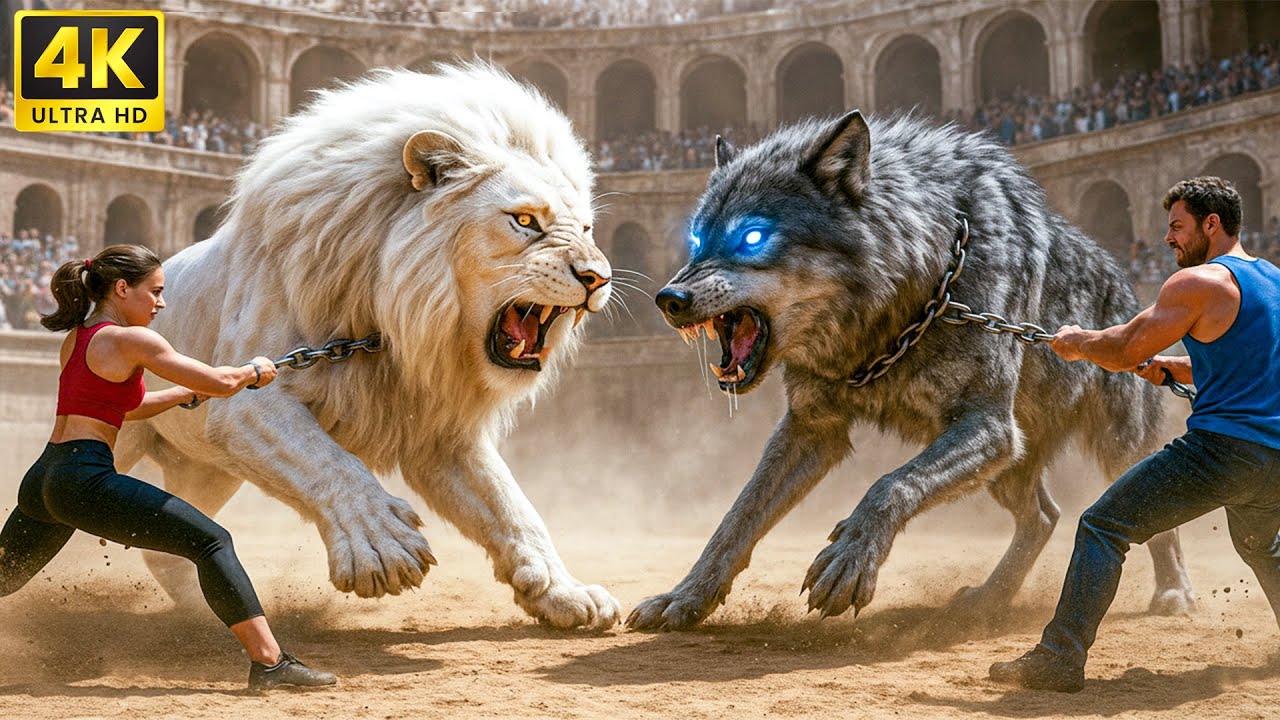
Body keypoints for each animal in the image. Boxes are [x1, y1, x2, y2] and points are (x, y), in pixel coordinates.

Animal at [114, 64, 621, 628]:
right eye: (525, 220)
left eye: (586, 227)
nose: (598, 278)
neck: (396, 323)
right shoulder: (247, 401)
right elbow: (329, 463)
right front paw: (380, 548)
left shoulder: (441, 433)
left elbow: (511, 507)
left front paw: (564, 593)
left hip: (207, 466)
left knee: (165, 541)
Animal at [626, 111, 1197, 630]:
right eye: (697, 240)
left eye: (751, 238)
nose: (668, 299)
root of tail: (1128, 283)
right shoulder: (813, 429)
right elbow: (737, 517)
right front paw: (685, 598)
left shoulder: (989, 427)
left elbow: (889, 485)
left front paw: (849, 560)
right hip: (1011, 466)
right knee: (1044, 517)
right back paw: (990, 600)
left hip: (1111, 449)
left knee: (1150, 521)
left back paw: (1174, 594)